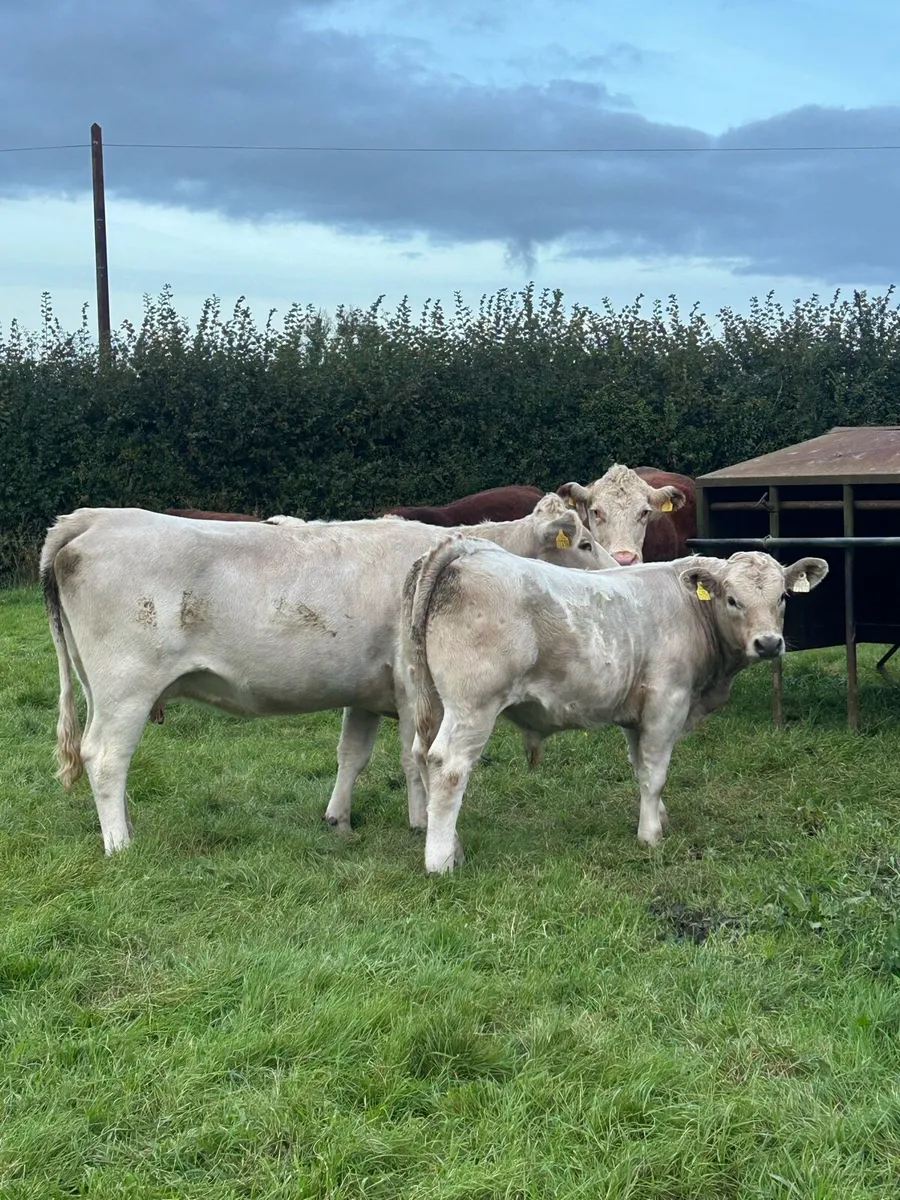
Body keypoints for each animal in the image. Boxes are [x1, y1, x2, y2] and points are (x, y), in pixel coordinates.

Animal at [40, 496, 613, 855]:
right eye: (584, 543)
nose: (621, 565)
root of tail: (92, 518)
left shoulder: (365, 690)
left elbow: (351, 756)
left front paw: (338, 819)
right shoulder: (412, 687)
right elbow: (415, 760)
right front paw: (421, 822)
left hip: (98, 687)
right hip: (126, 686)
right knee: (106, 756)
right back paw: (120, 844)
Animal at [401, 537, 828, 873]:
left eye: (782, 597)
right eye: (732, 599)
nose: (768, 643)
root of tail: (467, 548)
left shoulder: (634, 713)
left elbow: (639, 766)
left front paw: (658, 815)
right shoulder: (666, 702)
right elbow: (655, 772)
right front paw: (650, 835)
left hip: (432, 699)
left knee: (422, 754)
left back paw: (451, 845)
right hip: (473, 704)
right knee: (448, 767)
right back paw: (441, 862)